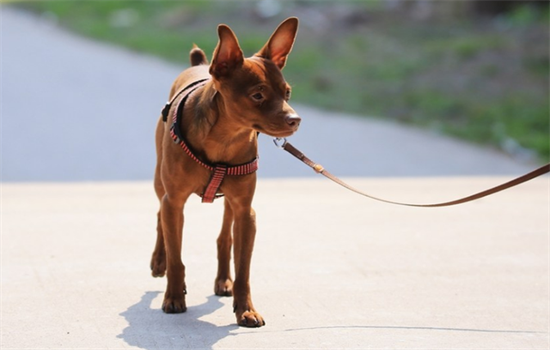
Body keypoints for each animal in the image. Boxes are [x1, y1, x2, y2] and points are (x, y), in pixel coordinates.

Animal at [151, 17, 302, 326]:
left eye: (287, 93)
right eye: (257, 95)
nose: (295, 120)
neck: (225, 138)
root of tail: (200, 64)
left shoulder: (246, 212)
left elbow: (243, 268)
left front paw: (246, 308)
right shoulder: (176, 203)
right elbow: (177, 258)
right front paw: (173, 297)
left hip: (232, 202)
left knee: (224, 238)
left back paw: (223, 281)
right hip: (160, 184)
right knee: (160, 215)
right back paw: (158, 261)